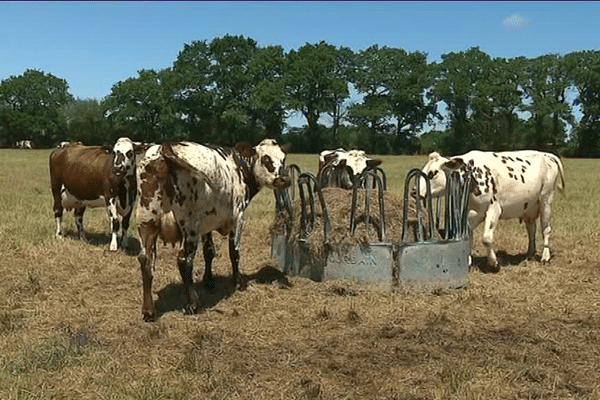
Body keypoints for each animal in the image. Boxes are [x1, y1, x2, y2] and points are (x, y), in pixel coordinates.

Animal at [138, 139, 292, 320]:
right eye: (266, 159)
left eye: (283, 159)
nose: (284, 180)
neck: (238, 167)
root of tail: (165, 147)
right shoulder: (238, 218)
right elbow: (234, 252)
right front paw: (238, 282)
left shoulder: (207, 225)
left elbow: (209, 251)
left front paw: (209, 281)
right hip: (190, 226)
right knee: (184, 260)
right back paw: (193, 304)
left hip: (147, 221)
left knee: (145, 259)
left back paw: (148, 310)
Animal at [420, 150, 564, 268]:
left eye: (432, 173)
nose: (416, 191)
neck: (471, 175)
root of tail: (547, 155)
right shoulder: (470, 214)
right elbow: (469, 237)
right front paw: (468, 260)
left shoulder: (494, 209)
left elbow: (486, 238)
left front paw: (493, 261)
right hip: (529, 207)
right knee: (531, 229)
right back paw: (530, 253)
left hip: (546, 200)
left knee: (546, 230)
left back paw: (545, 257)